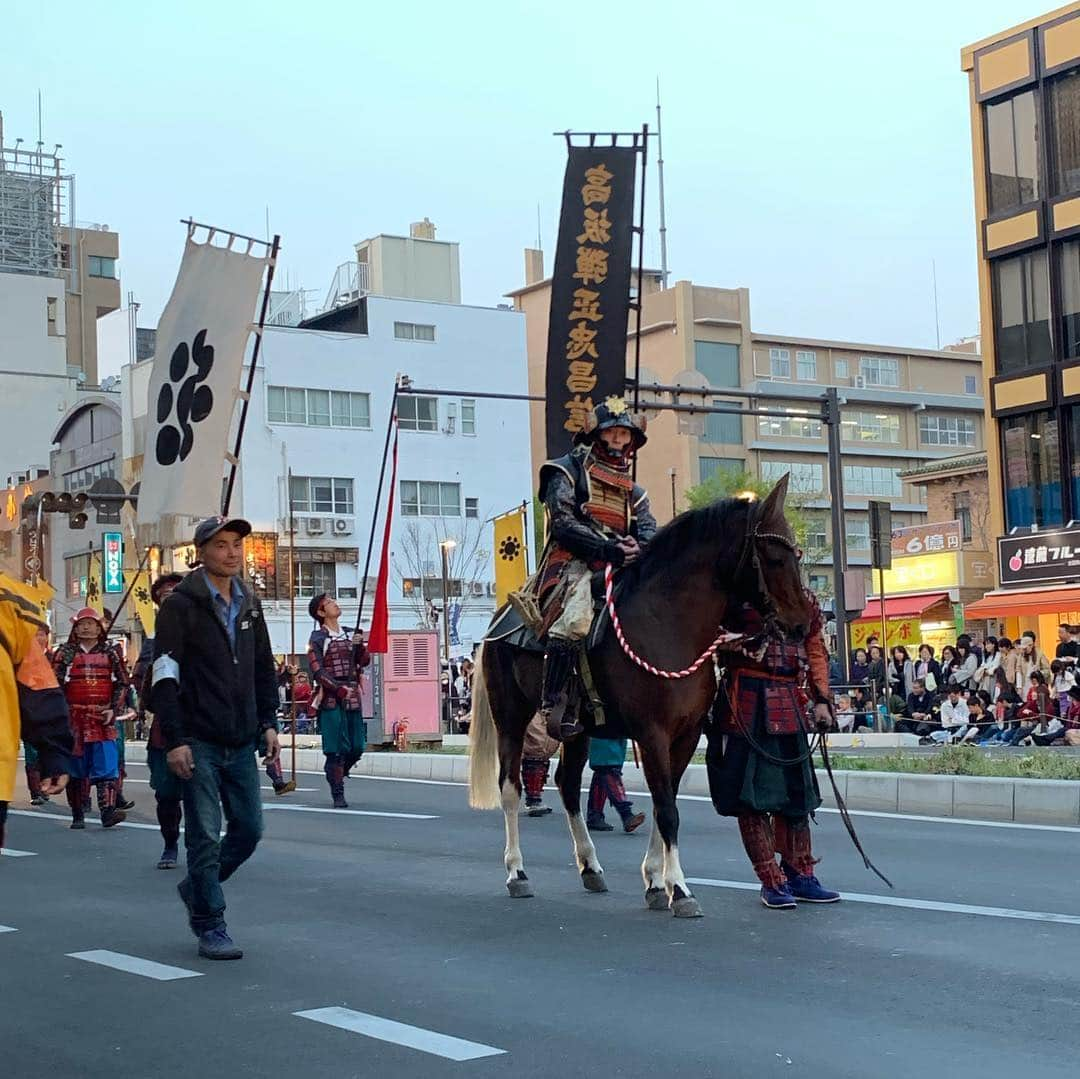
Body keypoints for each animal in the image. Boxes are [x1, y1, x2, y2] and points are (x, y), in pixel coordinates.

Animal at [464, 477, 812, 915]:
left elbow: (668, 803)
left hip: (577, 729)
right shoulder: (652, 734)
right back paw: (517, 872)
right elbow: (667, 810)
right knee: (510, 786)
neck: (670, 623)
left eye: (796, 552)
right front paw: (680, 889)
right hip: (510, 715)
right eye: (775, 557)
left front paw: (656, 881)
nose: (802, 624)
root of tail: (499, 620)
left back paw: (590, 866)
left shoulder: (686, 736)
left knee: (567, 784)